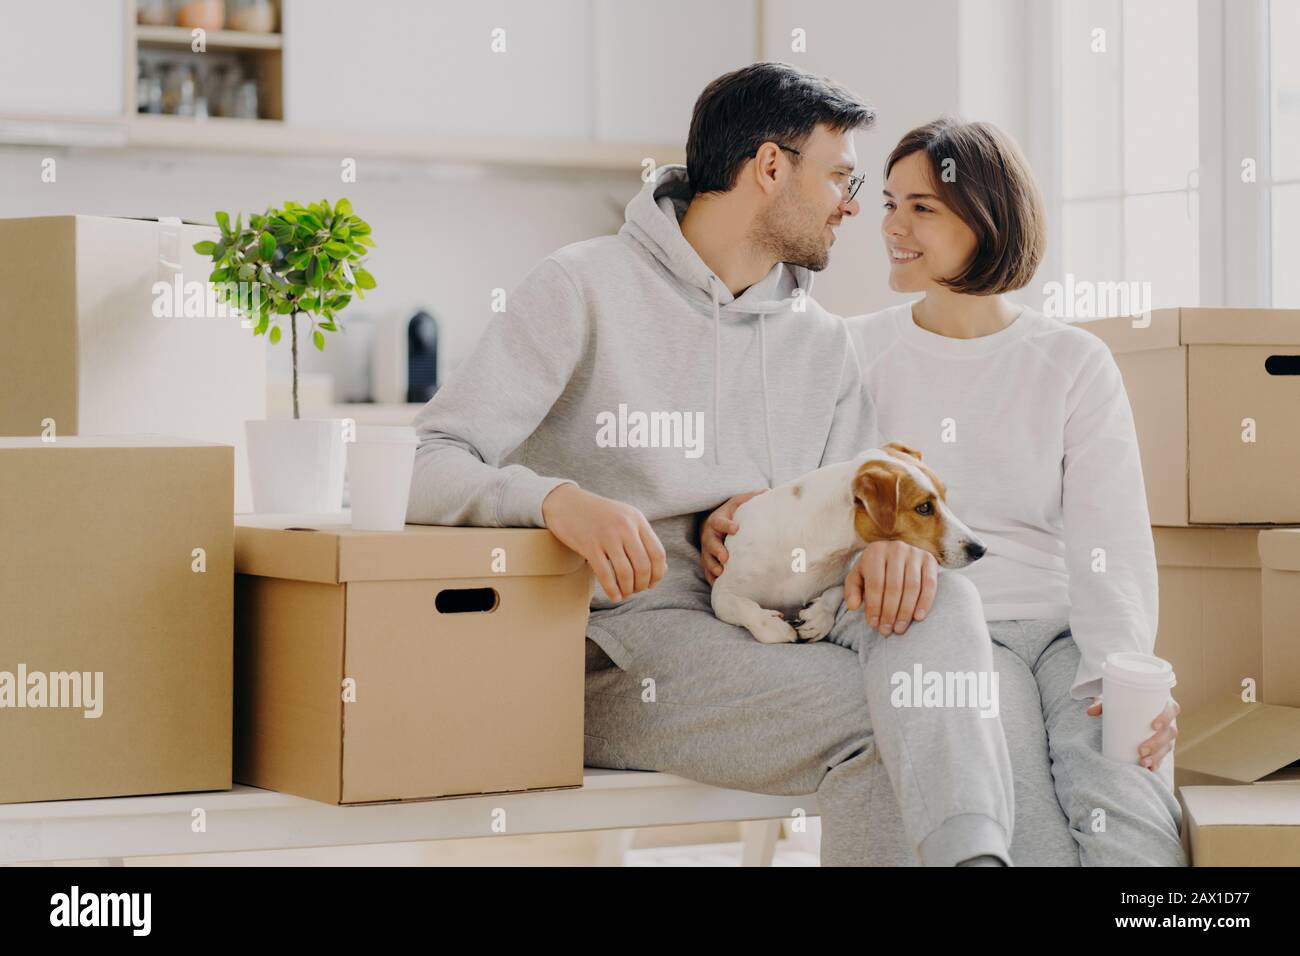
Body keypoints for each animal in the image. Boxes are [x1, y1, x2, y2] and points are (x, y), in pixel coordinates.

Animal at [712, 442, 982, 642]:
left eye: (945, 498)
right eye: (924, 508)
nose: (980, 549)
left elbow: (838, 590)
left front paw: (819, 616)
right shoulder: (721, 592)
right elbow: (742, 606)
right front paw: (773, 626)